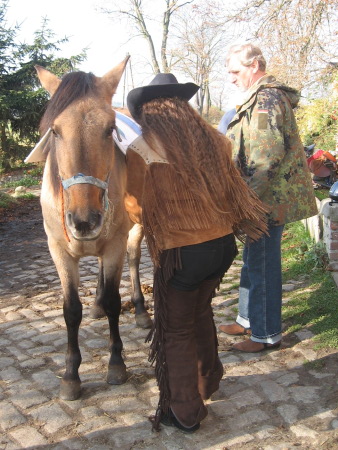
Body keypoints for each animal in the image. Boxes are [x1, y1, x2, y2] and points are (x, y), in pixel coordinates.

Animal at [34, 57, 151, 400]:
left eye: (110, 129)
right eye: (55, 131)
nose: (85, 220)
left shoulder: (113, 244)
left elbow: (114, 301)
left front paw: (116, 365)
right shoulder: (59, 251)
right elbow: (71, 310)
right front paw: (71, 375)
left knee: (134, 259)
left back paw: (141, 311)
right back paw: (96, 303)